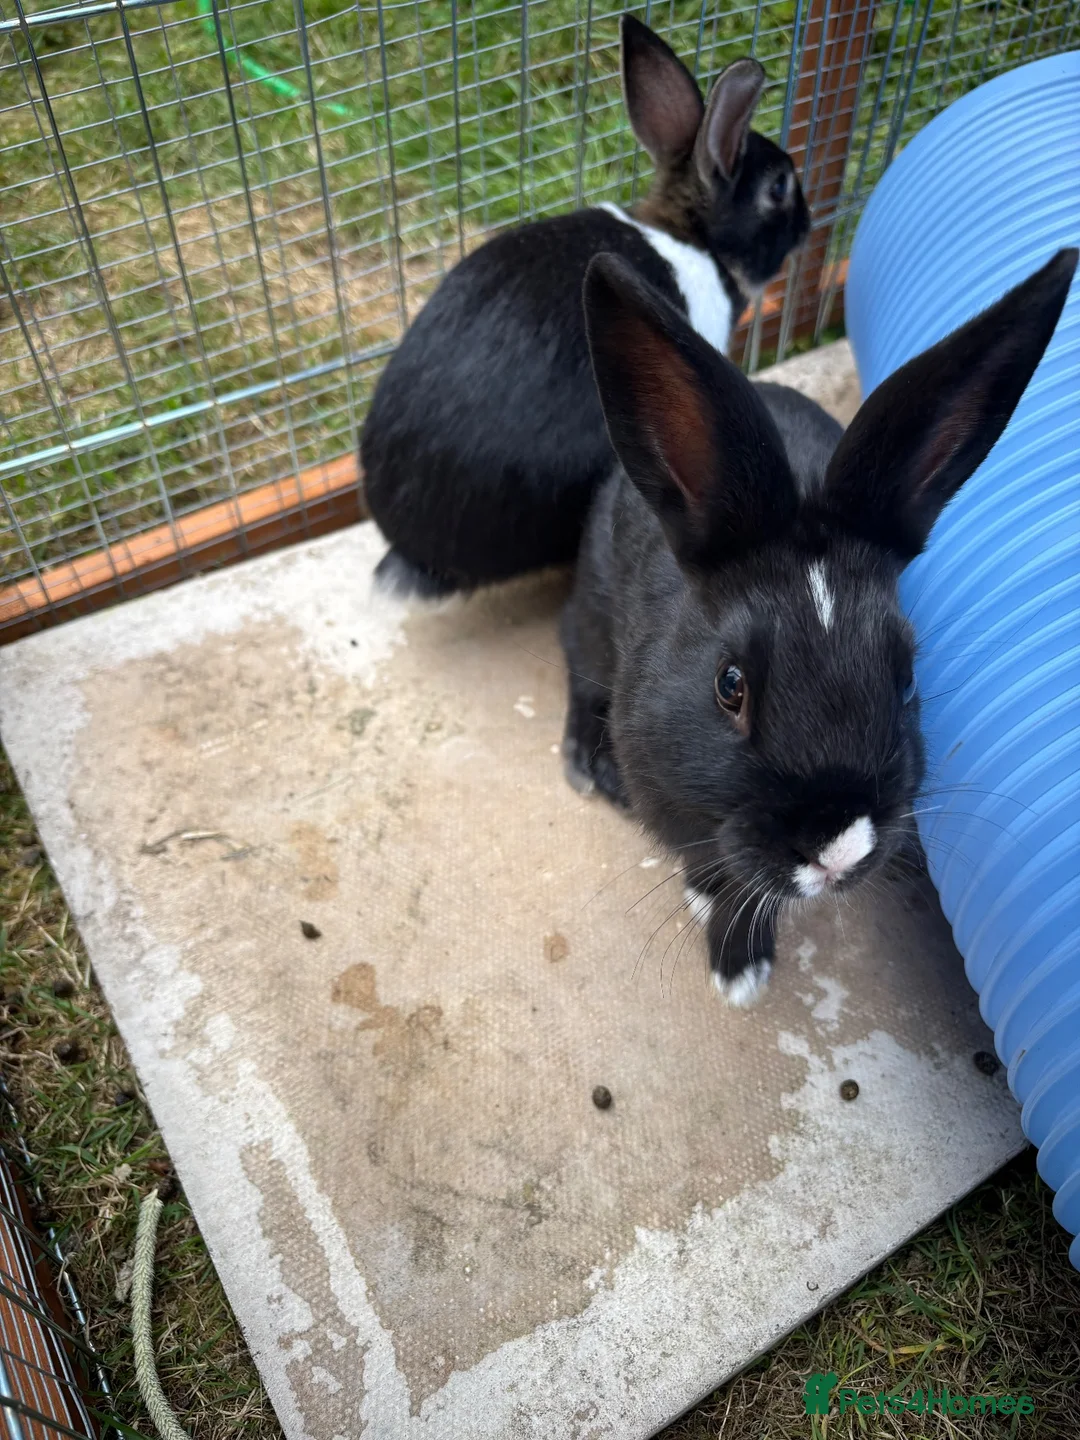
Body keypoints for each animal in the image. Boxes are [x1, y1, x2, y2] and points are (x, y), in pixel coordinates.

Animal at [562, 245, 1077, 1006]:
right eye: (730, 684)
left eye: (905, 680)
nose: (839, 847)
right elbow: (723, 875)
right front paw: (738, 969)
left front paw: (741, 960)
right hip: (594, 615)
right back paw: (584, 764)